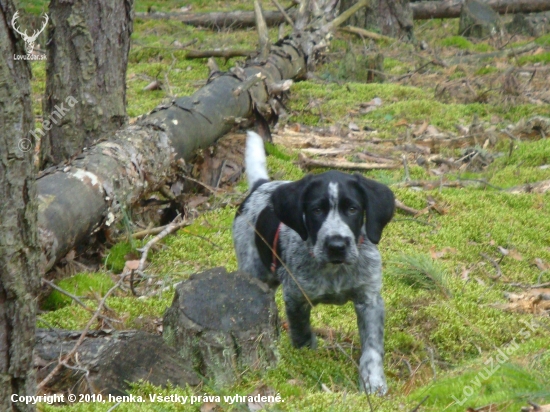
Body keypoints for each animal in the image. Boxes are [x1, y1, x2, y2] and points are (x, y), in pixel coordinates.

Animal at [233, 131, 396, 392]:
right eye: (316, 210)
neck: (335, 271)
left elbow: (372, 347)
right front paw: (308, 358)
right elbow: (301, 333)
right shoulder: (296, 297)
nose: (336, 245)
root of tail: (261, 185)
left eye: (353, 209)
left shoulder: (369, 299)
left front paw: (373, 382)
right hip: (253, 271)